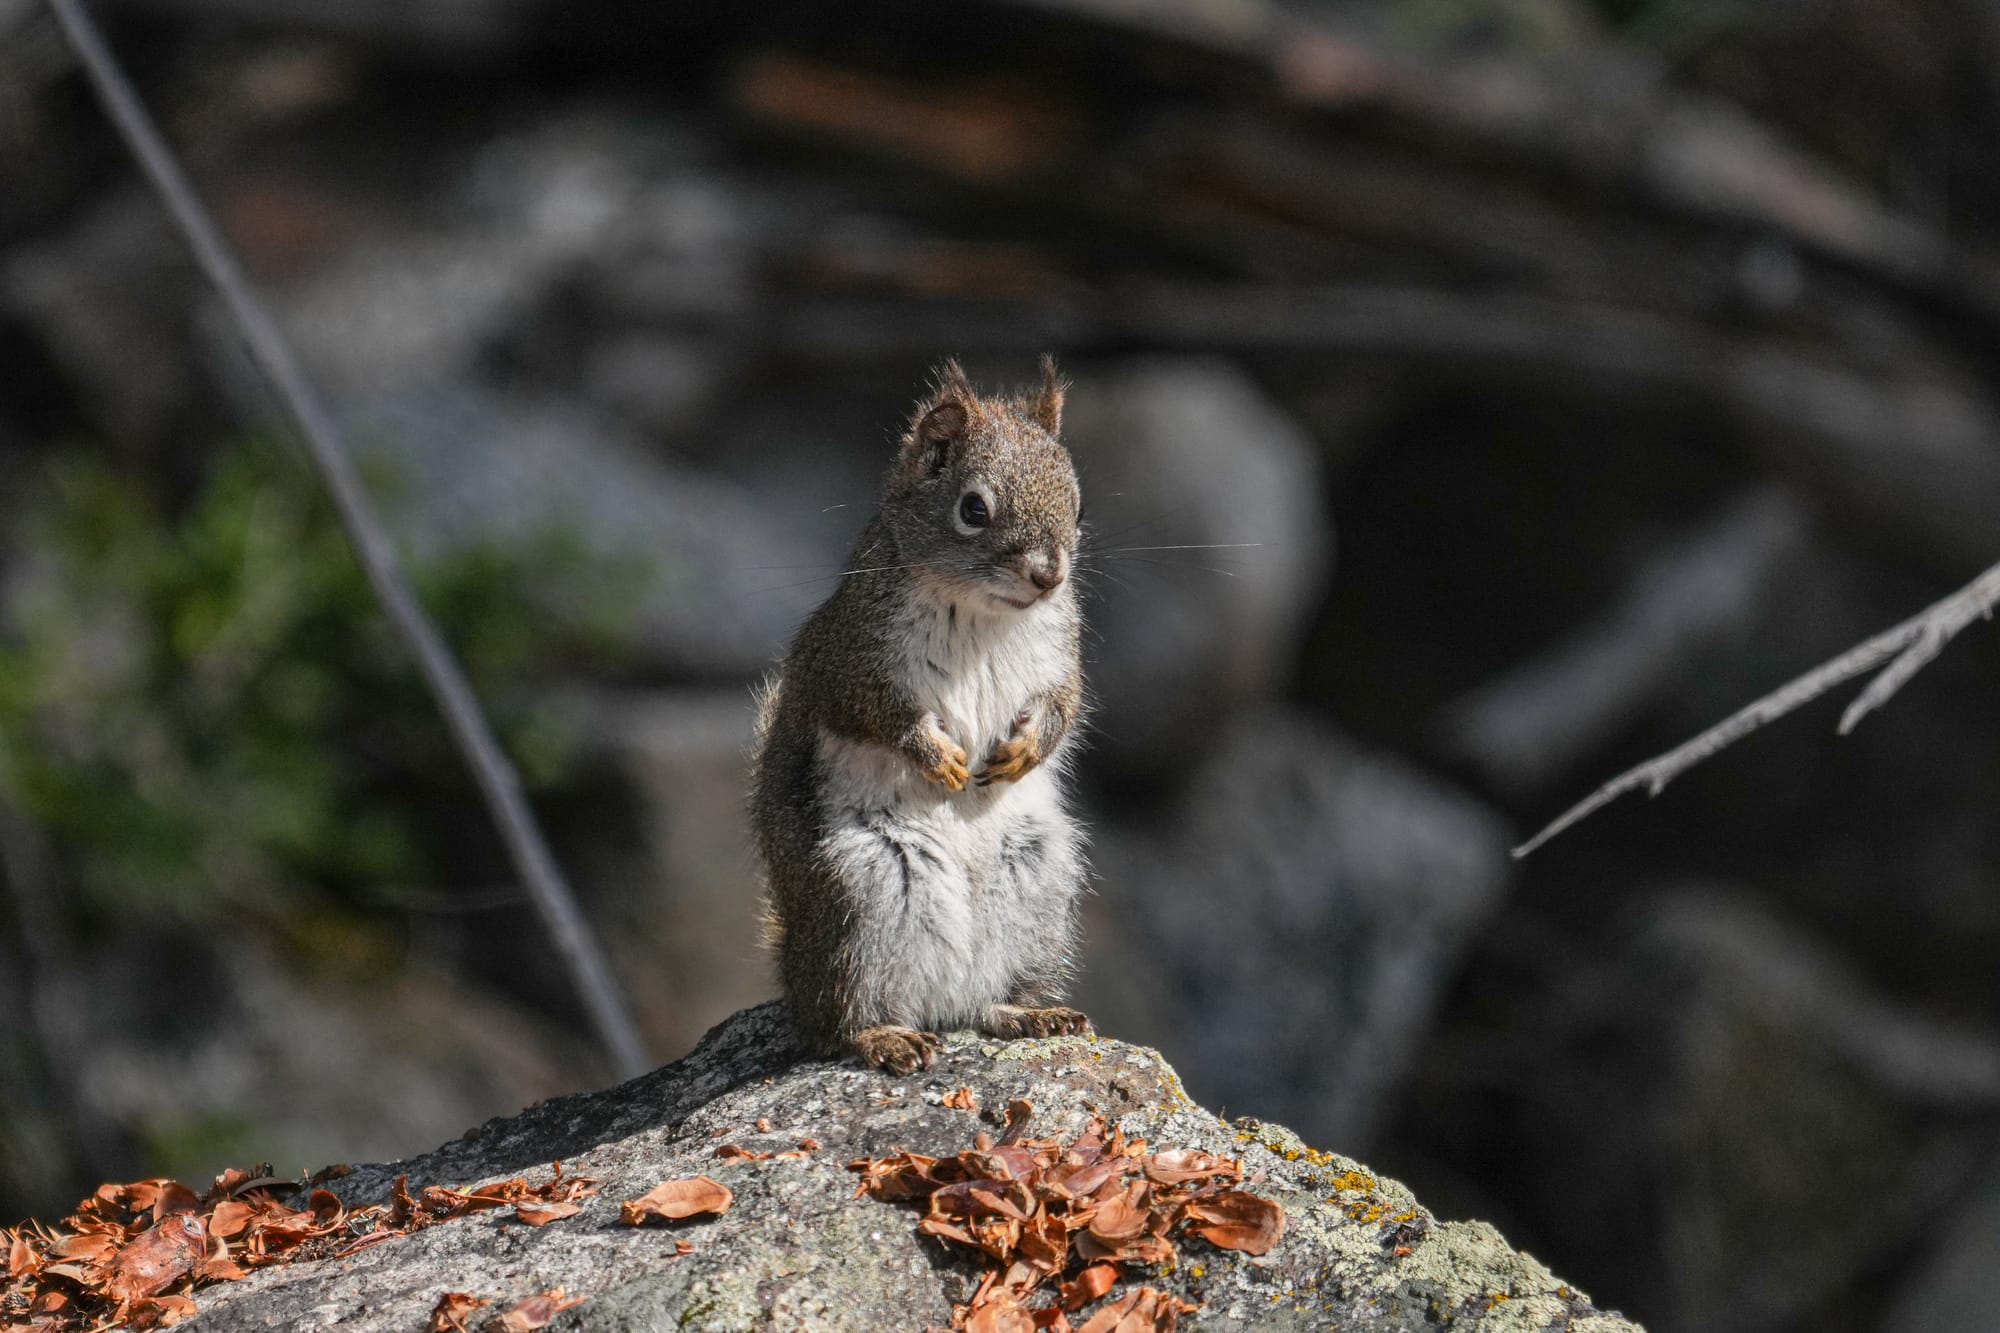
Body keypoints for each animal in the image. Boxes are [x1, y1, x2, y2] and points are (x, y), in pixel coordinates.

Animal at [750, 357, 1091, 1075]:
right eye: (973, 509)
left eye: (1078, 505)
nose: (1049, 576)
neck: (984, 614)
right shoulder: (844, 661)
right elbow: (873, 713)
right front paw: (936, 756)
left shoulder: (1061, 659)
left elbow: (1064, 707)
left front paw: (1024, 752)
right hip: (862, 893)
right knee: (834, 1023)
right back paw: (879, 1035)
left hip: (1039, 883)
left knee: (988, 1001)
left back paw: (1027, 1012)